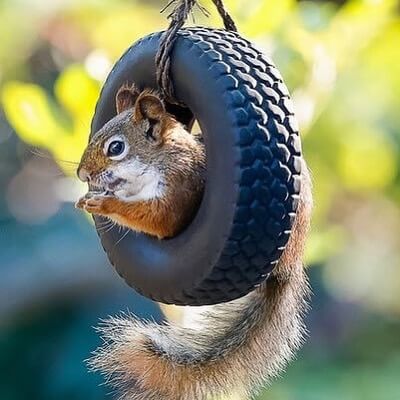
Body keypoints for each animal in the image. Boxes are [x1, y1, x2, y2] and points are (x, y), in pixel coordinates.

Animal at [76, 83, 312, 400]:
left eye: (116, 148)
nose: (81, 174)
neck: (161, 159)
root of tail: (289, 266)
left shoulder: (178, 189)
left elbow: (157, 219)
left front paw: (103, 203)